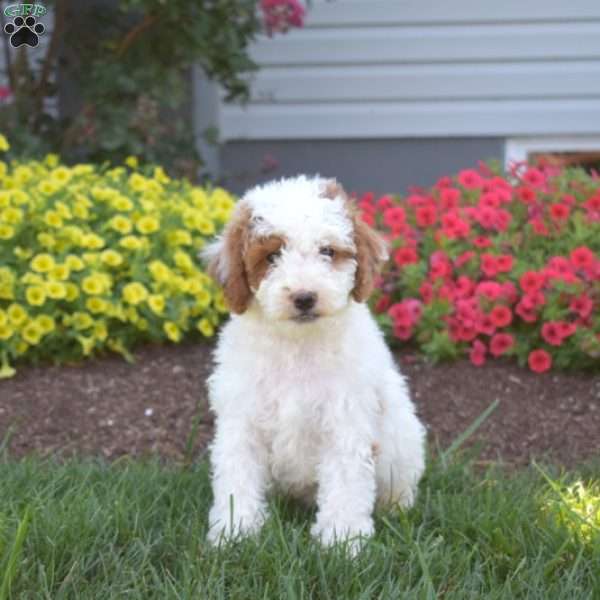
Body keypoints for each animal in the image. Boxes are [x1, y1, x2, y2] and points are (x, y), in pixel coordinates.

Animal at [203, 176, 426, 552]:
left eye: (328, 252)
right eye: (272, 255)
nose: (304, 297)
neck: (298, 344)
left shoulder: (345, 420)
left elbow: (346, 482)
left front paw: (342, 540)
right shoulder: (241, 419)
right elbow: (237, 475)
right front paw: (235, 532)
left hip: (402, 445)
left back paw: (397, 510)